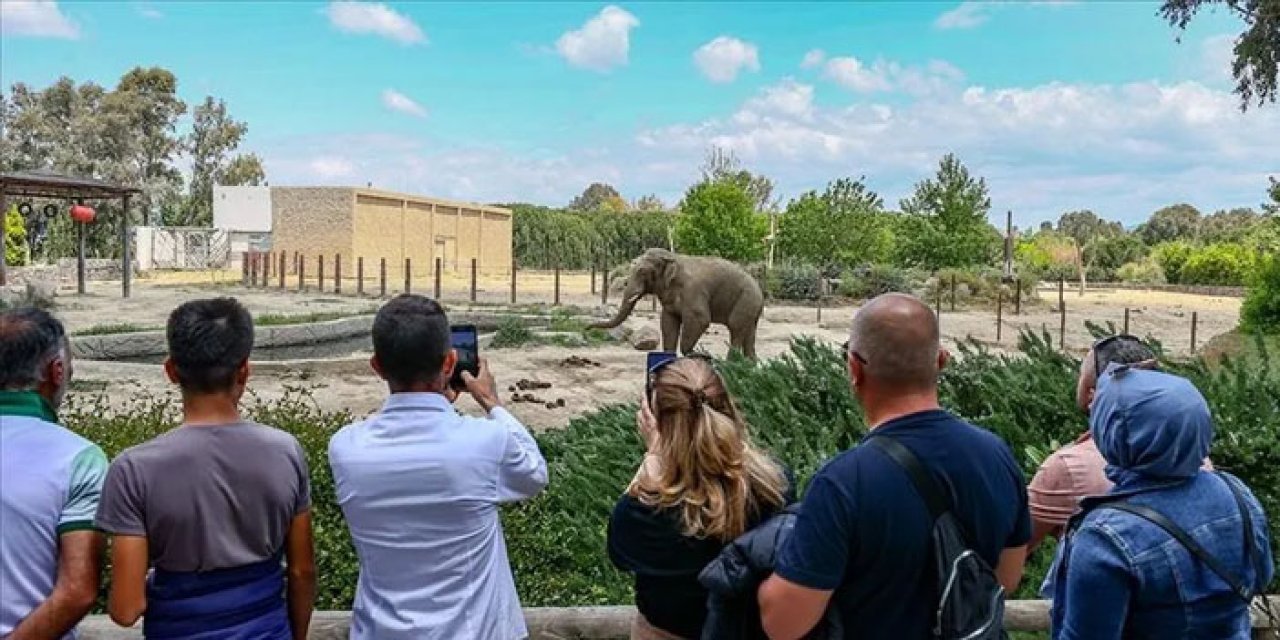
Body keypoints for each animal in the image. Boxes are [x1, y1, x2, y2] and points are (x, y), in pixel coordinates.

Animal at [586, 248, 757, 358]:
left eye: (642, 272)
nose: (587, 328)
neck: (673, 257)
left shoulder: (693, 291)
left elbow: (700, 319)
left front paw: (698, 354)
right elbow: (668, 322)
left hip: (746, 299)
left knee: (735, 328)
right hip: (750, 306)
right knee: (749, 336)